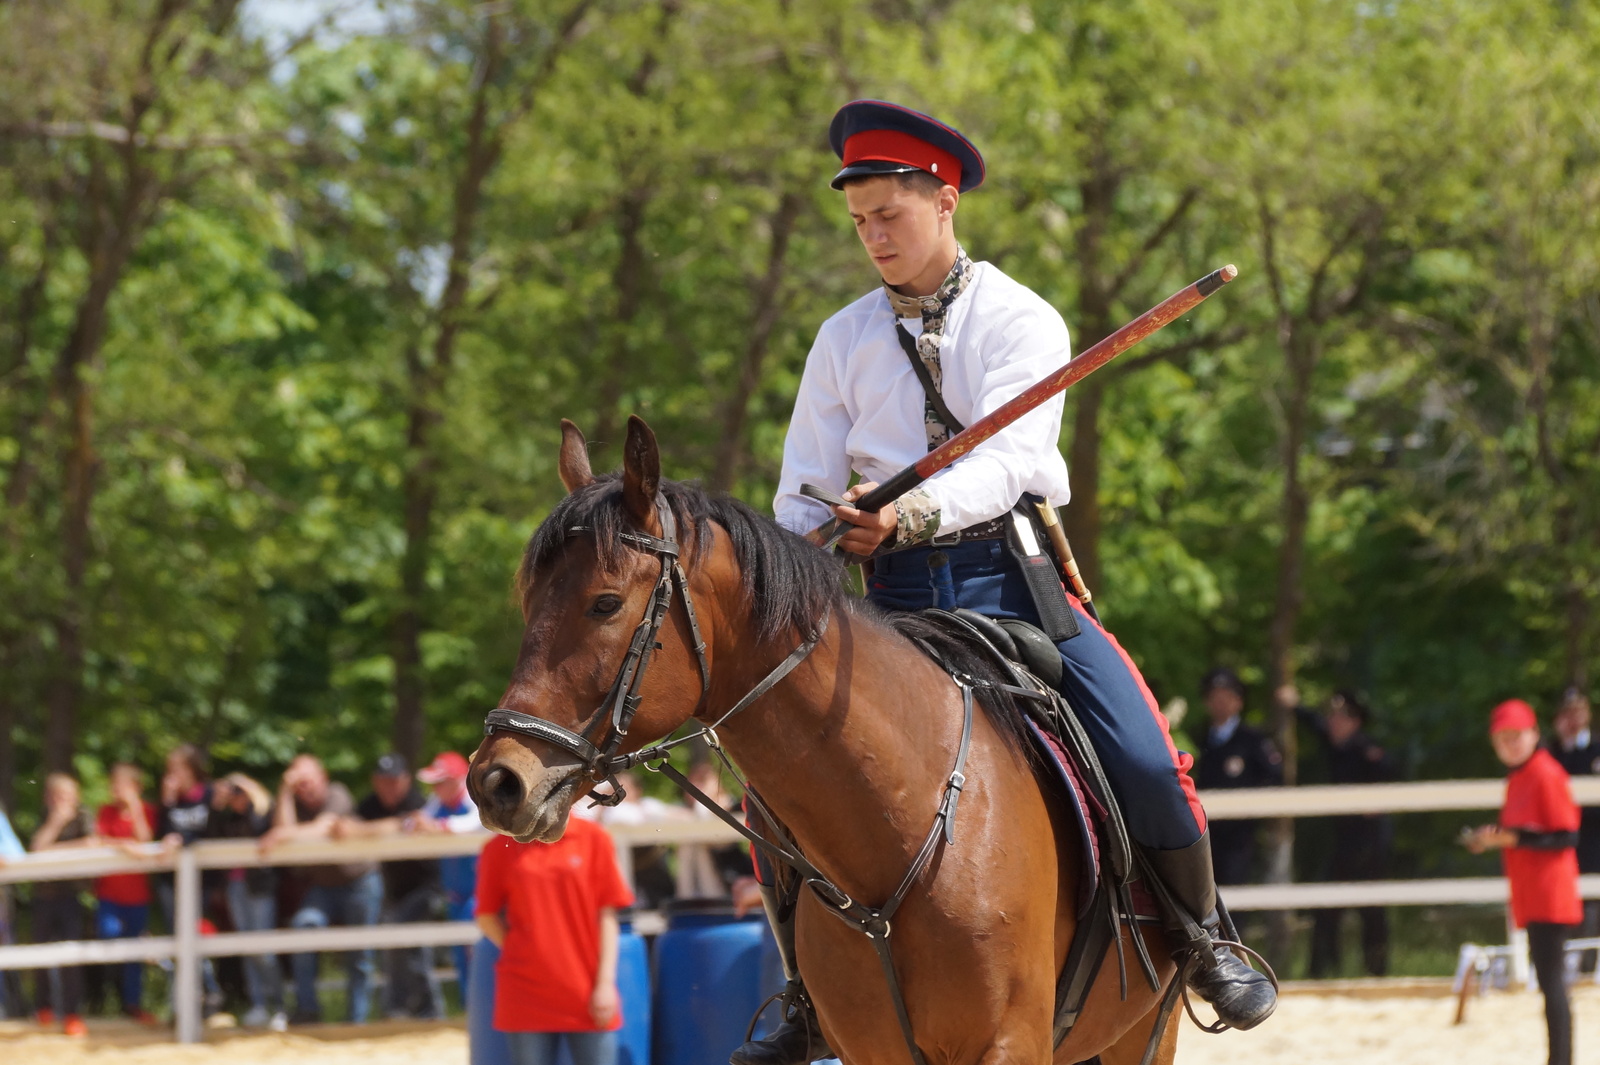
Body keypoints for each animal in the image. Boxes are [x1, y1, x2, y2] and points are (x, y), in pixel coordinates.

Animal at [464, 415, 1177, 1061]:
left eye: (606, 603)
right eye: (528, 603)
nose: (496, 781)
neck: (906, 821)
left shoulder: (1010, 1043)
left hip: (1143, 1030)